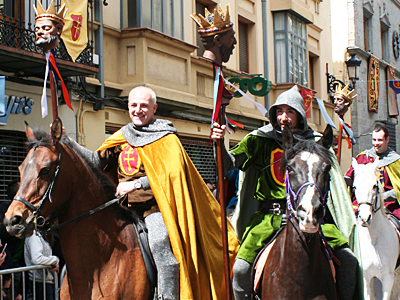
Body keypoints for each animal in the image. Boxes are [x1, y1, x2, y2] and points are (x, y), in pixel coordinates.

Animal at [352, 158, 398, 298]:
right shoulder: (365, 277)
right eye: (355, 187)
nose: (364, 218)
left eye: (374, 186)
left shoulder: (388, 278)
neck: (374, 240)